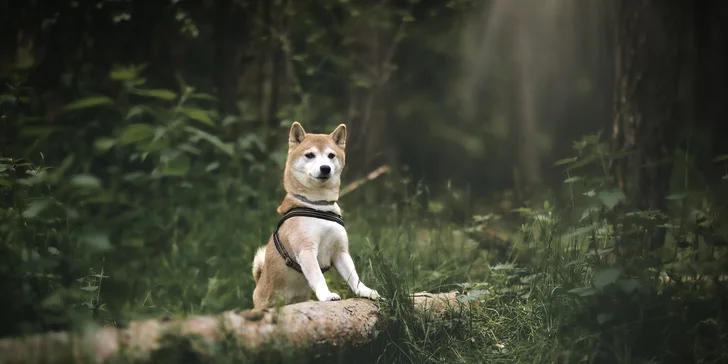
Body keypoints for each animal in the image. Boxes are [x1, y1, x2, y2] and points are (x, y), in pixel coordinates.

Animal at [252, 121, 382, 308]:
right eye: (310, 155)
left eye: (331, 155)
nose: (325, 168)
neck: (318, 206)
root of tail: (258, 284)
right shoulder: (306, 250)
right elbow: (318, 276)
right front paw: (326, 295)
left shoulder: (340, 252)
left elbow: (353, 276)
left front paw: (365, 291)